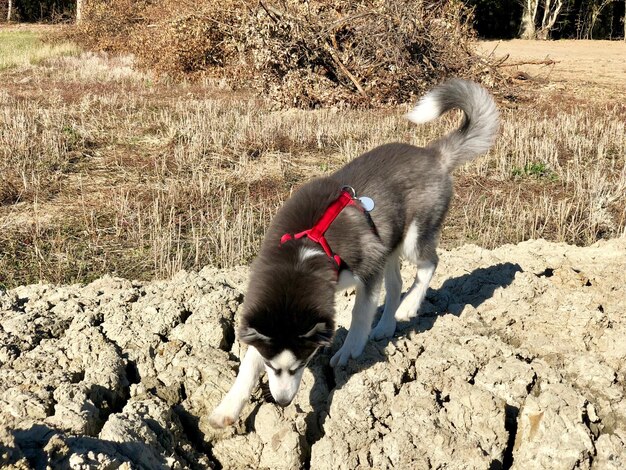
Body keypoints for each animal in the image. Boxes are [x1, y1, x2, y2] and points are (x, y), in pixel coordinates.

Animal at [208, 79, 498, 428]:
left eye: (300, 364)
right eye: (273, 367)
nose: (283, 402)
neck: (303, 253)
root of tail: (432, 154)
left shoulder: (368, 266)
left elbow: (360, 313)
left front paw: (349, 350)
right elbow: (248, 363)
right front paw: (228, 408)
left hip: (413, 238)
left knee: (429, 264)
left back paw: (408, 307)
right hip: (390, 244)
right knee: (397, 283)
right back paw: (385, 326)